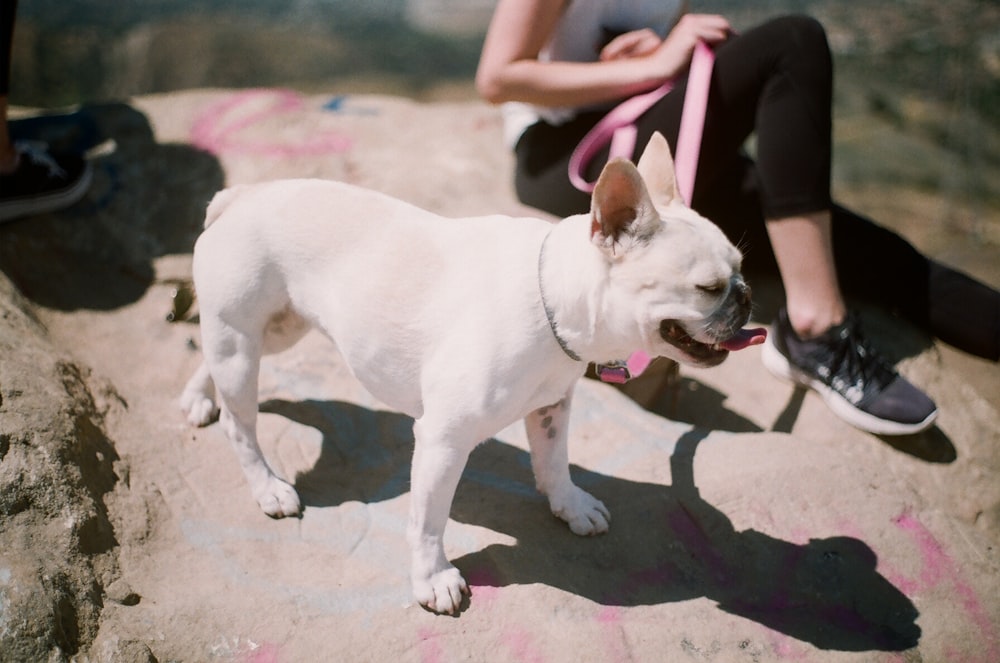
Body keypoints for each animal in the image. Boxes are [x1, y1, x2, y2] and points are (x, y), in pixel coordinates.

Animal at [182, 132, 764, 616]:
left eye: (740, 269)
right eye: (709, 288)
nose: (747, 295)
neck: (557, 299)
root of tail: (241, 196)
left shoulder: (552, 406)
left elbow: (554, 462)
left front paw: (570, 506)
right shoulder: (444, 439)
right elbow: (428, 520)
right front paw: (432, 579)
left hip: (279, 328)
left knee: (212, 357)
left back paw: (197, 397)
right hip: (243, 340)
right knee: (240, 422)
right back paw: (267, 487)